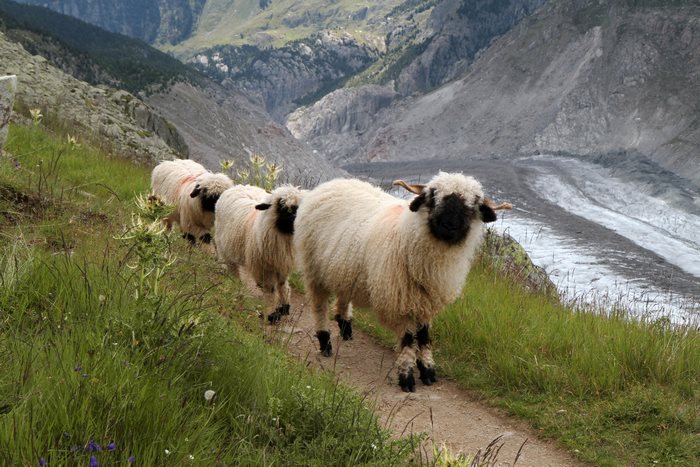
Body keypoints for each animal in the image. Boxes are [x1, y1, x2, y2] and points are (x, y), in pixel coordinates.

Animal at [215, 185, 304, 324]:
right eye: (282, 206)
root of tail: (236, 186)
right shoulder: (264, 268)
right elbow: (270, 290)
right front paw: (272, 313)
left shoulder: (282, 265)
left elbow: (282, 285)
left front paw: (284, 308)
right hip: (224, 246)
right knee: (232, 268)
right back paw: (235, 286)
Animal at [292, 174, 512, 394]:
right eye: (433, 196)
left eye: (473, 204)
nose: (449, 225)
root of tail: (329, 184)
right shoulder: (399, 301)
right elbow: (407, 340)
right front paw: (407, 376)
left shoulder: (426, 303)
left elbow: (424, 337)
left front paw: (428, 370)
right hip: (314, 270)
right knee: (319, 307)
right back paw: (325, 342)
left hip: (343, 269)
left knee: (343, 295)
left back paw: (346, 327)